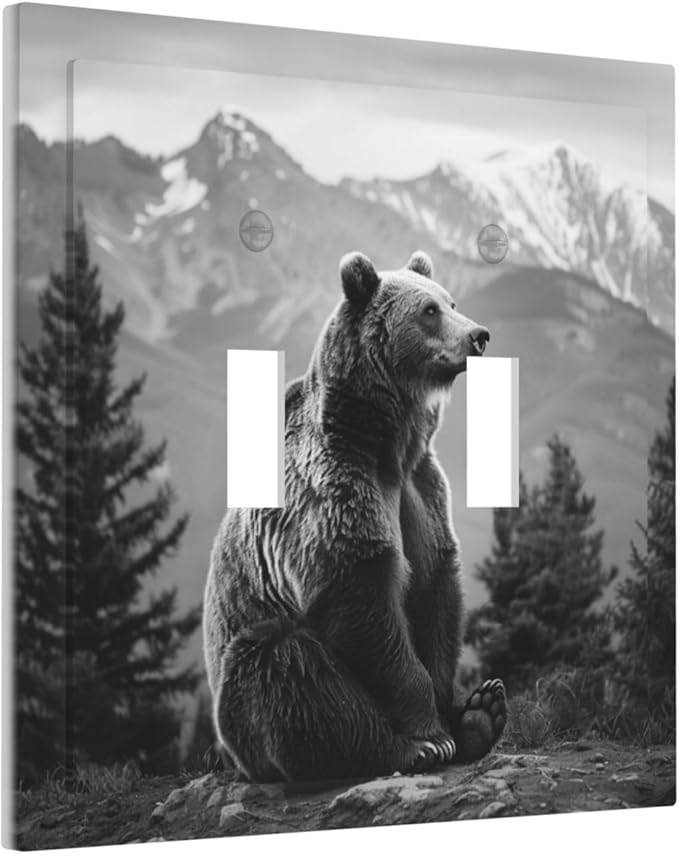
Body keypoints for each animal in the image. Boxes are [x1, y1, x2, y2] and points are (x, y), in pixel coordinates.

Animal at [203, 250, 507, 783]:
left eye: (452, 301)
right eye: (429, 311)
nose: (479, 336)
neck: (389, 441)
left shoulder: (421, 490)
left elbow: (435, 588)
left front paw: (460, 711)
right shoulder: (335, 489)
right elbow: (362, 599)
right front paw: (432, 733)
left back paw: (483, 712)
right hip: (240, 704)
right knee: (283, 664)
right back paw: (402, 749)